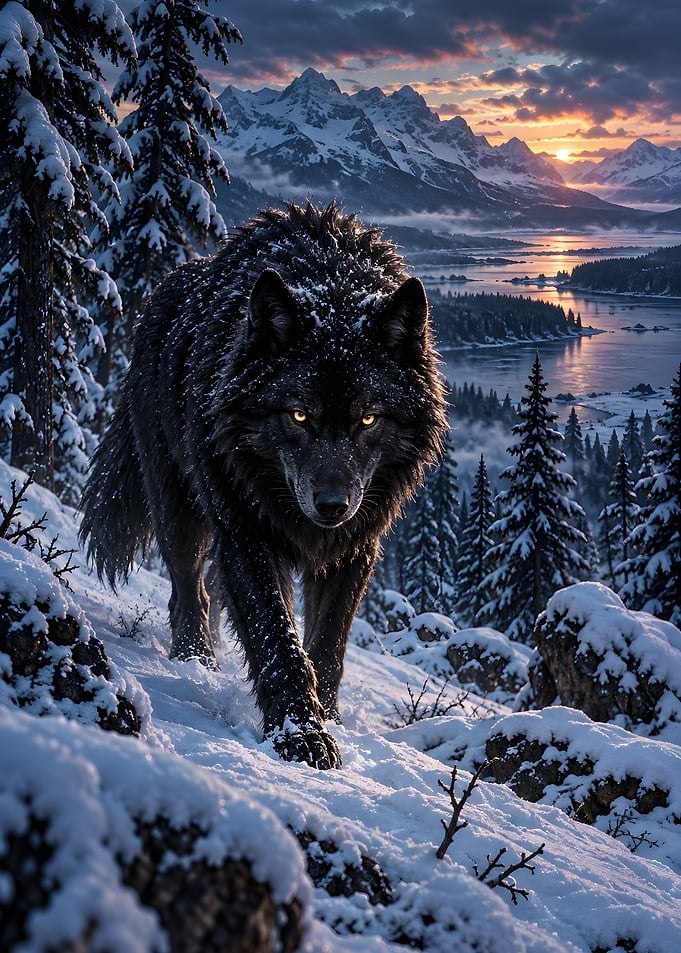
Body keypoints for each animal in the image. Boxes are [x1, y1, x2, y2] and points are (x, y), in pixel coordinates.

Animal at [80, 202, 447, 768]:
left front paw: (327, 718)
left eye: (367, 420)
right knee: (190, 592)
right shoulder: (245, 532)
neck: (330, 277)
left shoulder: (355, 546)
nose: (331, 506)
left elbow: (328, 646)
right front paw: (302, 736)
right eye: (298, 415)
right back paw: (195, 665)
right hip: (179, 511)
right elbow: (277, 637)